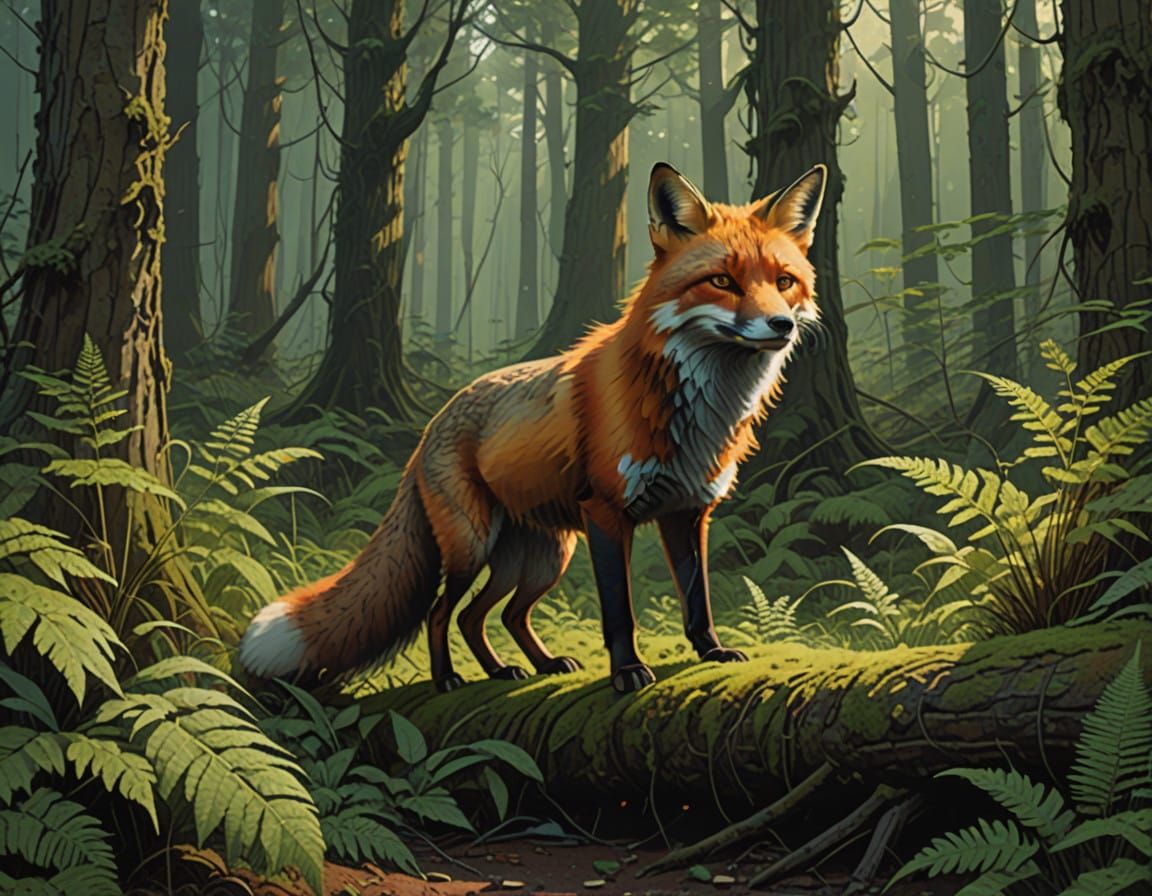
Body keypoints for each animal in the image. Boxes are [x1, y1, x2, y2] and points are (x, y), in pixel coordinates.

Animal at [240, 161, 826, 694]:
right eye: (723, 281)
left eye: (784, 282)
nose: (781, 325)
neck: (697, 410)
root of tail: (432, 424)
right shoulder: (607, 514)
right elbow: (620, 612)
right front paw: (627, 672)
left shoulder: (687, 512)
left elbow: (697, 600)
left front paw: (711, 652)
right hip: (475, 547)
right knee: (441, 613)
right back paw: (448, 678)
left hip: (543, 558)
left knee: (491, 616)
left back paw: (523, 667)